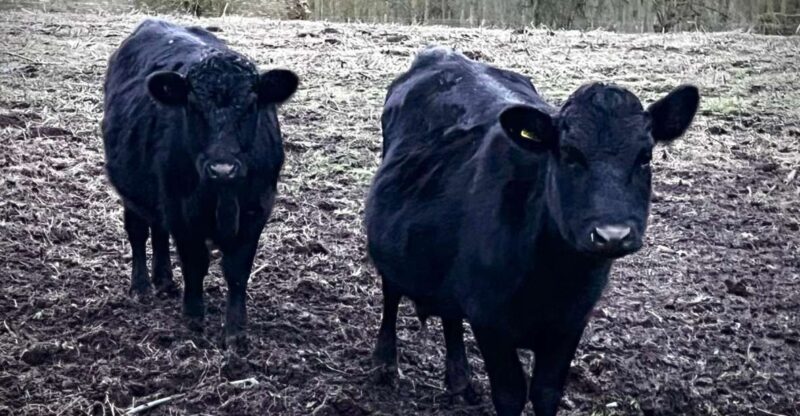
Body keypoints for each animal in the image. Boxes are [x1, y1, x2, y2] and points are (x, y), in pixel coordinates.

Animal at [102, 19, 298, 351]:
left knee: (158, 230)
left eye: (251, 106)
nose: (222, 168)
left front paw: (235, 330)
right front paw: (193, 317)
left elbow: (237, 270)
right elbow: (194, 262)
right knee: (139, 232)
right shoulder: (181, 209)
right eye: (193, 106)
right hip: (132, 191)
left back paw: (165, 280)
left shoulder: (257, 209)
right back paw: (141, 286)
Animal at [365, 46, 699, 416]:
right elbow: (510, 394)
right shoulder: (489, 320)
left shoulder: (570, 323)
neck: (553, 277)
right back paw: (385, 363)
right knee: (391, 291)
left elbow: (546, 391)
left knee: (449, 314)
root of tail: (442, 53)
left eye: (645, 157)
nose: (612, 234)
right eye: (569, 155)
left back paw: (460, 379)